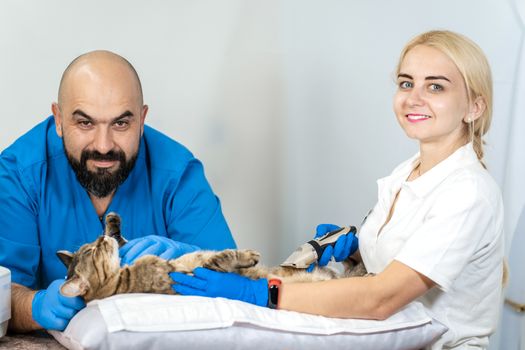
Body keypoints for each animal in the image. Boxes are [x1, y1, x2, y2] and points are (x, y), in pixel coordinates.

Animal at [56, 212, 364, 302]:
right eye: (93, 251)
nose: (99, 240)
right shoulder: (186, 274)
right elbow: (221, 259)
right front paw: (246, 255)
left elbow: (124, 240)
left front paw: (112, 222)